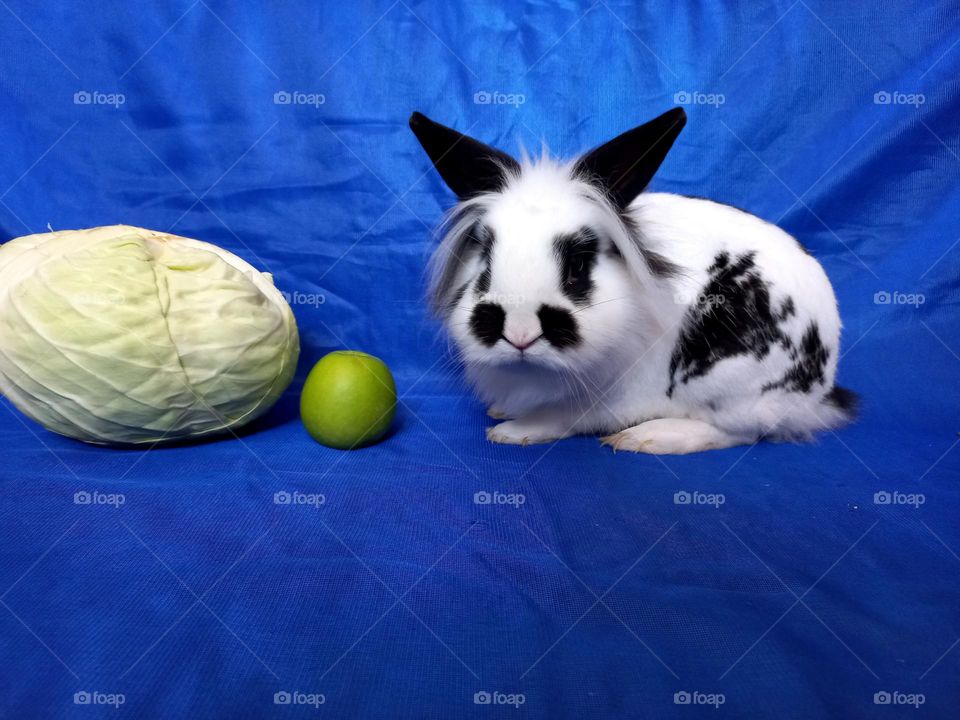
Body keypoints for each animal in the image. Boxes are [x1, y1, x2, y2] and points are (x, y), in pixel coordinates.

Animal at [409, 108, 857, 454]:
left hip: (731, 381)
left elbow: (564, 416)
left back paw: (650, 438)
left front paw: (513, 431)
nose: (519, 334)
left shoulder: (607, 396)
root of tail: (822, 388)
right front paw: (506, 411)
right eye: (485, 256)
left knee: (739, 431)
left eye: (578, 264)